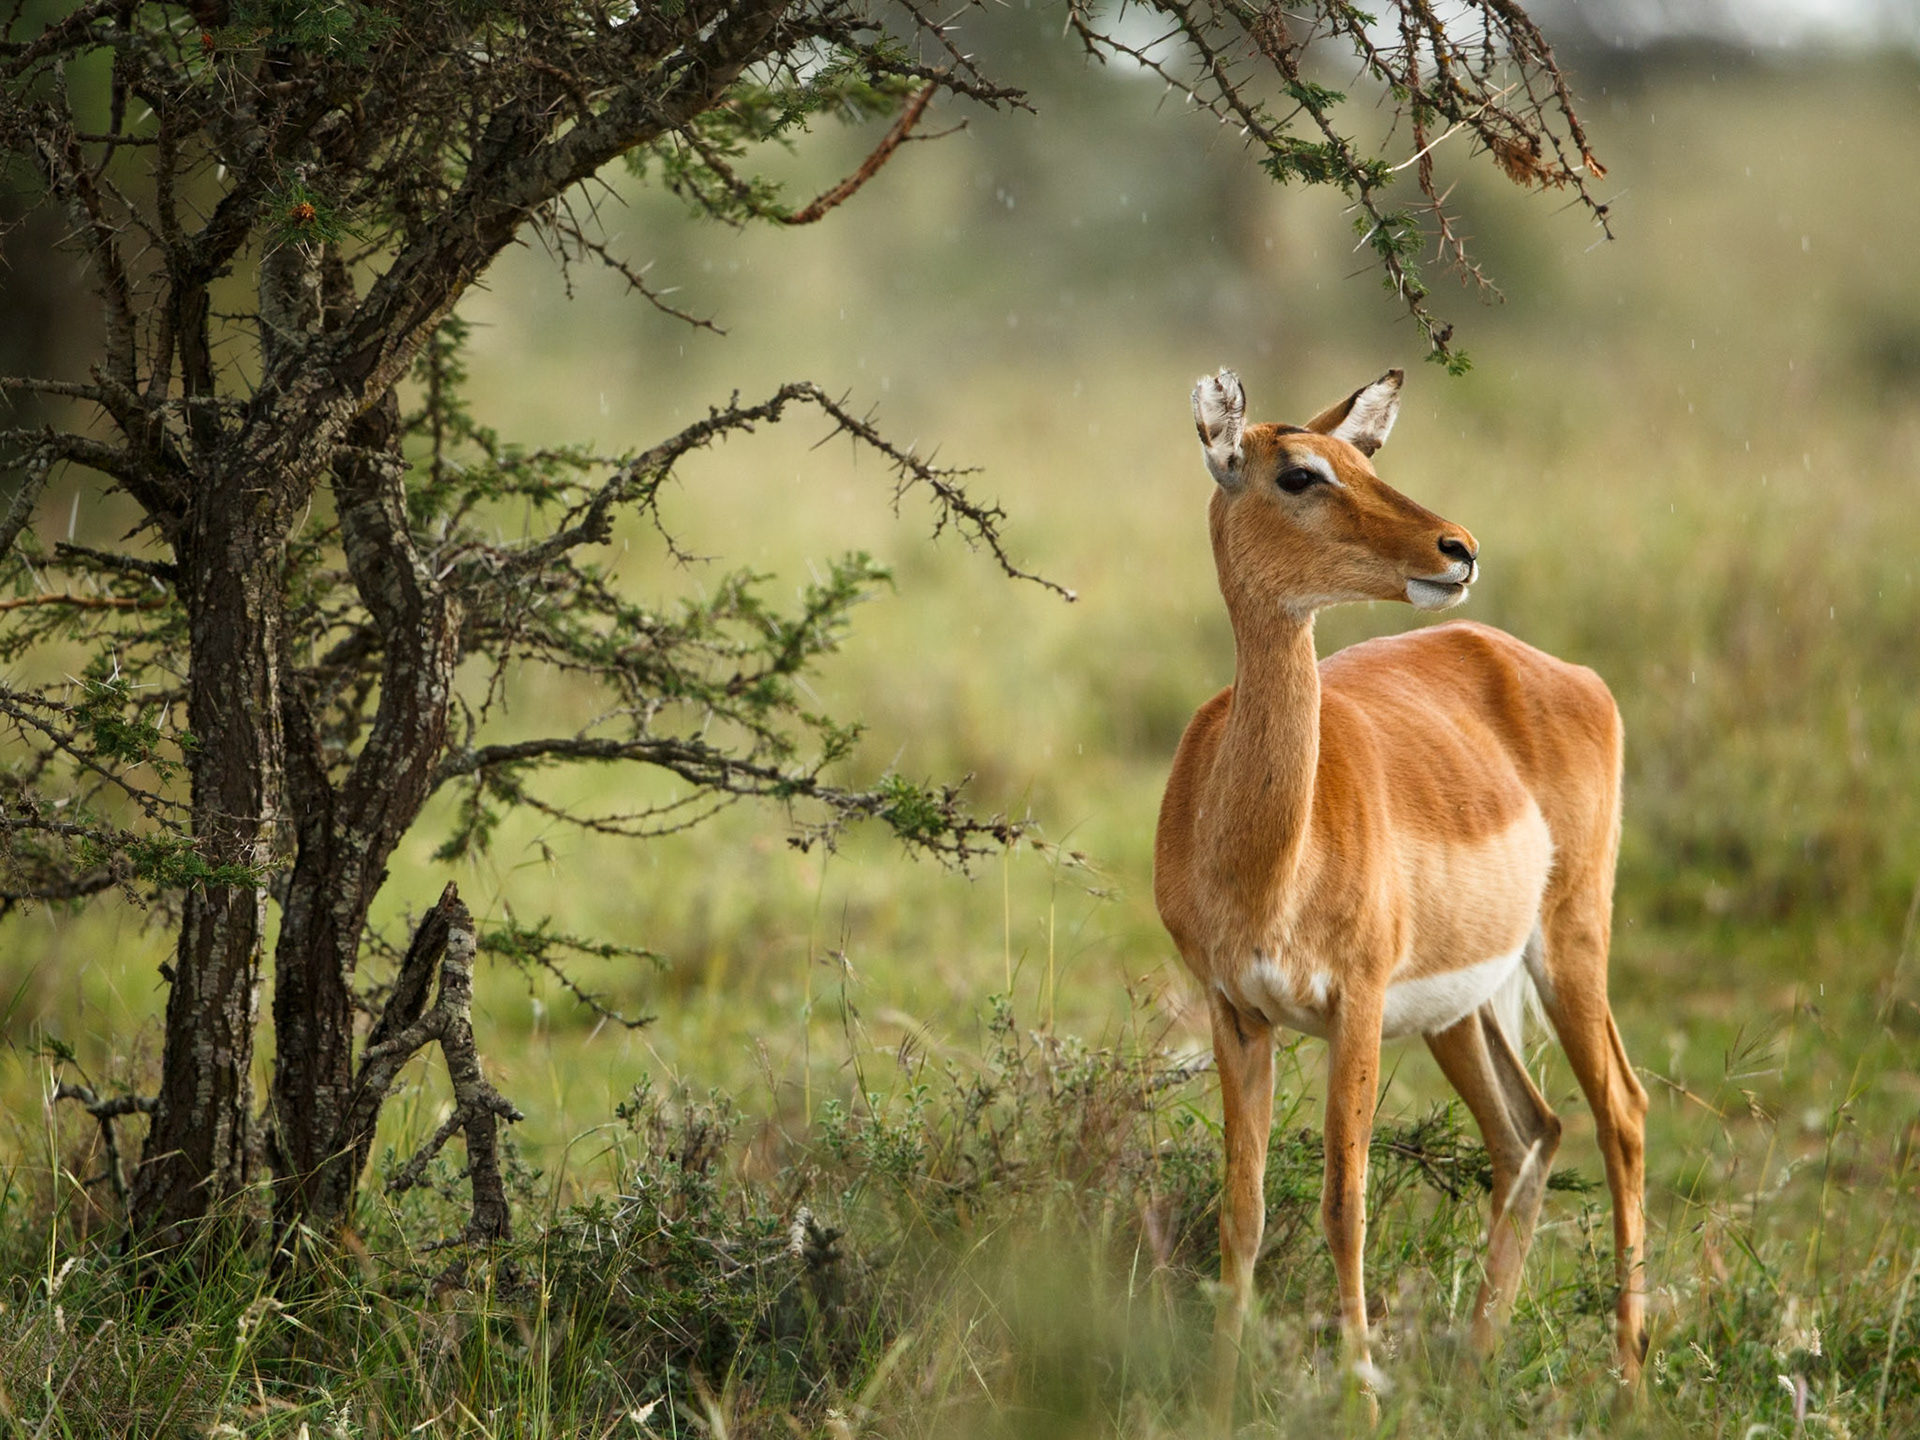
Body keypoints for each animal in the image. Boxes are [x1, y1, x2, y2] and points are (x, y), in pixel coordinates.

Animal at [1154, 368, 1649, 1420]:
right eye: (1299, 473)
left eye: (1365, 460)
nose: (1457, 548)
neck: (1263, 854)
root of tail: (1570, 673)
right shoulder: (1235, 1011)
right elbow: (1244, 1208)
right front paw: (1215, 1404)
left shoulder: (1356, 1004)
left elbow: (1345, 1203)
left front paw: (1362, 1404)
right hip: (1462, 1009)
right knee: (1531, 1131)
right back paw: (1471, 1374)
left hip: (1570, 945)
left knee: (1621, 1114)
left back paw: (1631, 1381)